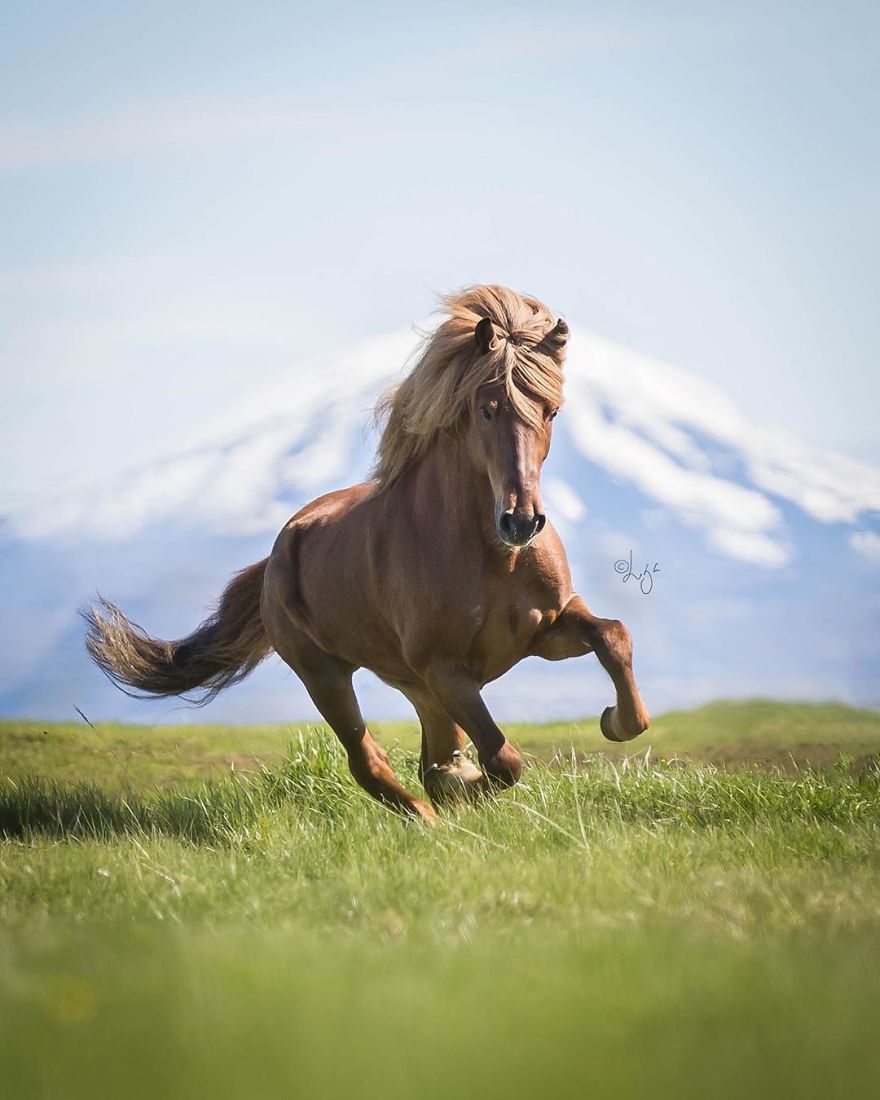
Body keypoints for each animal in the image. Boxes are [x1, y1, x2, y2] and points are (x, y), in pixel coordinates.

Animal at [85, 284, 650, 821]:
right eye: (487, 409)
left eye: (551, 411)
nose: (522, 521)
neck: (493, 557)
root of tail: (275, 557)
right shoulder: (447, 670)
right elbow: (504, 760)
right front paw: (462, 780)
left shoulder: (545, 630)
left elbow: (613, 636)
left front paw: (617, 722)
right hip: (327, 675)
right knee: (370, 762)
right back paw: (431, 810)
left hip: (414, 686)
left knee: (425, 756)